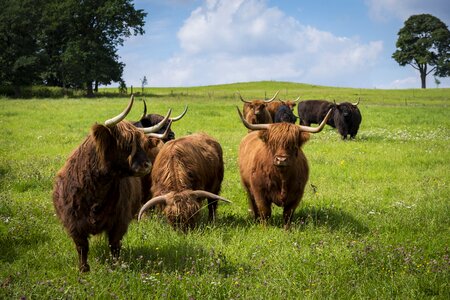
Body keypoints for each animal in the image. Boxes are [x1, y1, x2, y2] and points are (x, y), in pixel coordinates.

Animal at [52, 96, 171, 272]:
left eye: (142, 144)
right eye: (126, 144)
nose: (147, 165)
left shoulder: (119, 221)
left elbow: (114, 245)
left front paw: (115, 266)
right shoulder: (73, 221)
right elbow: (82, 247)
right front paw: (83, 269)